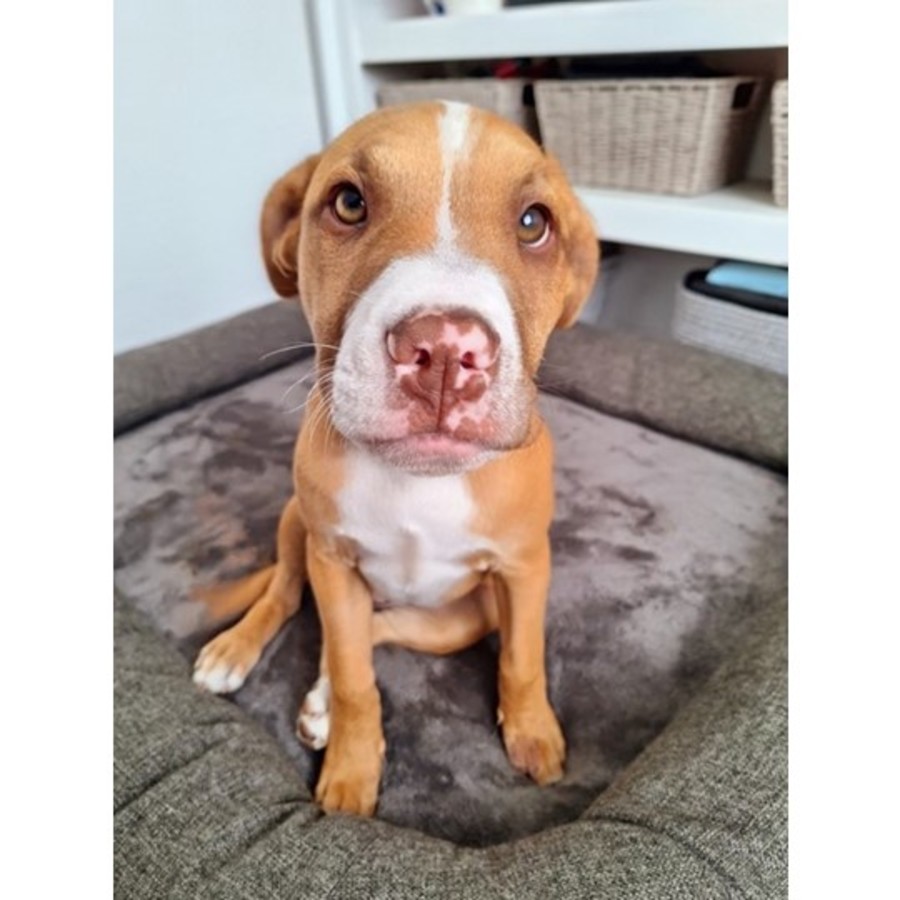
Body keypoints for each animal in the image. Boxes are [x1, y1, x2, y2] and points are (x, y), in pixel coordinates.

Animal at [192, 101, 599, 816]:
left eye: (534, 223)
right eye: (349, 203)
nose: (445, 350)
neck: (418, 483)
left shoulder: (525, 569)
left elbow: (522, 657)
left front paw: (533, 734)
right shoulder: (331, 559)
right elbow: (357, 678)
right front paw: (352, 773)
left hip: (460, 618)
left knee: (378, 629)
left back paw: (320, 699)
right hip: (296, 525)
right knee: (290, 598)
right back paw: (236, 652)